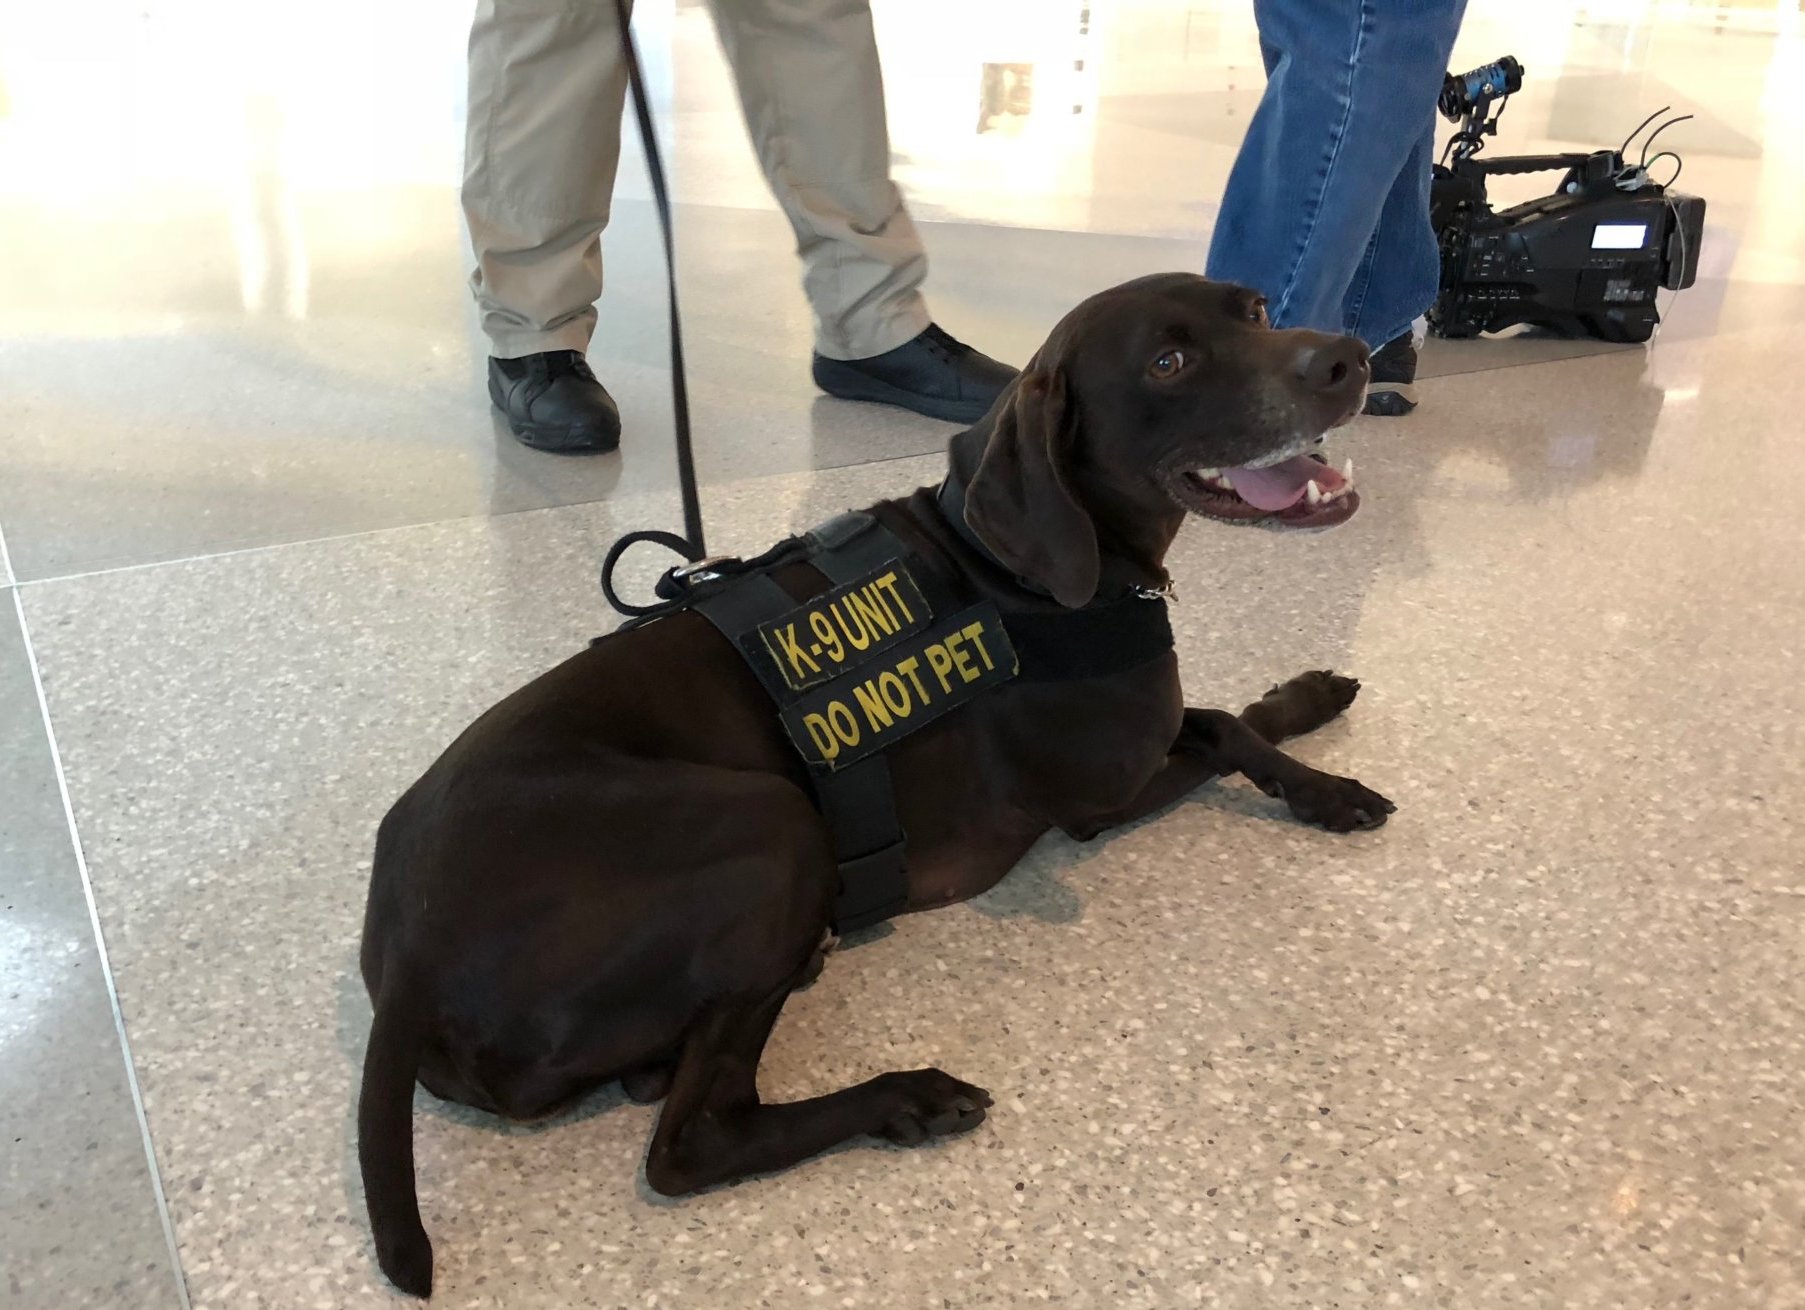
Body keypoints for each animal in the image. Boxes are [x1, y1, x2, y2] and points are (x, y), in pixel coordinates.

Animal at [359, 272, 1386, 1299]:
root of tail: (404, 964)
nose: (1347, 358)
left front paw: (1312, 712)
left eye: (1254, 310)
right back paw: (903, 1098)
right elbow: (1224, 727)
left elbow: (1230, 716)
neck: (1009, 569)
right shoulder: (1100, 796)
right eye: (1168, 362)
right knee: (692, 1141)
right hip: (774, 821)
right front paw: (1325, 781)